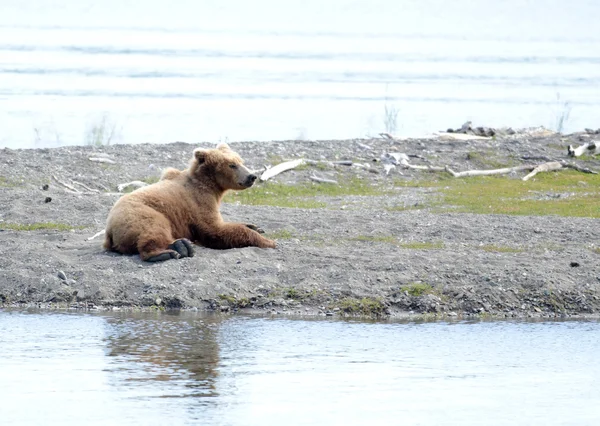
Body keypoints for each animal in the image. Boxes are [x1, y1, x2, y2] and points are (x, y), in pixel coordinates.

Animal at [105, 143, 276, 262]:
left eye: (241, 161)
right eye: (232, 165)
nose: (252, 176)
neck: (212, 187)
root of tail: (109, 230)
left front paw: (255, 227)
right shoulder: (198, 202)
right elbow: (215, 230)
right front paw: (268, 241)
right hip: (140, 213)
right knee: (153, 228)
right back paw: (174, 249)